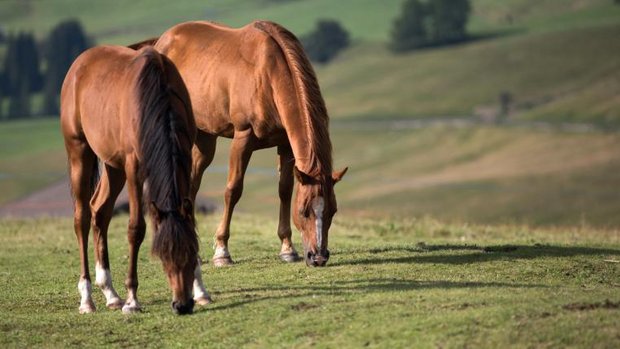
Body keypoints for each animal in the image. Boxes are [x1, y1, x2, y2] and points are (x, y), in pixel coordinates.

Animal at [60, 44, 211, 314]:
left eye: (190, 251)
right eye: (162, 256)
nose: (182, 305)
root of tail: (79, 63)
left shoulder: (184, 159)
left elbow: (190, 221)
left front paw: (201, 290)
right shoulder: (133, 167)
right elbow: (136, 228)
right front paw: (132, 299)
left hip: (113, 165)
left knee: (100, 211)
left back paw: (110, 292)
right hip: (79, 151)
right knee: (82, 218)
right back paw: (87, 298)